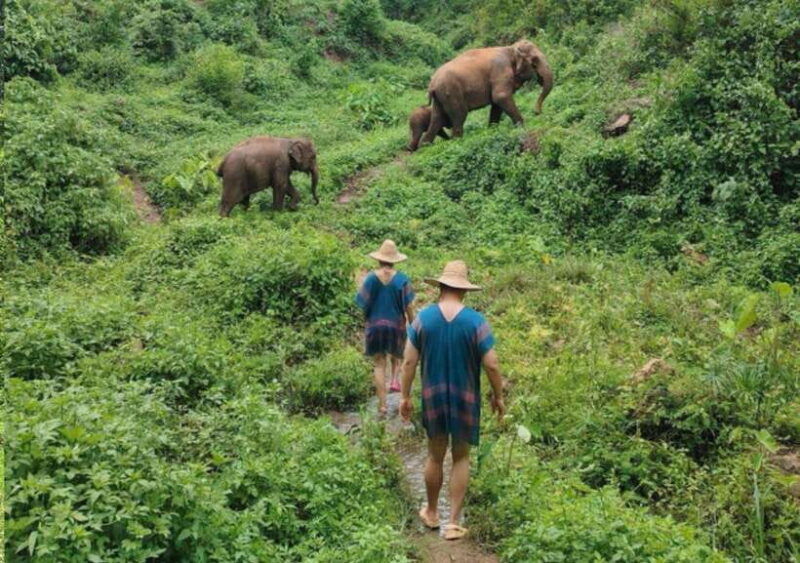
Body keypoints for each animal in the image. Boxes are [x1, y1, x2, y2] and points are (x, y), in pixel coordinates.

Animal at [418, 39, 553, 148]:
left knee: (437, 120)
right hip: (451, 93)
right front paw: (522, 127)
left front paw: (492, 131)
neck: (510, 48)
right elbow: (500, 97)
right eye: (535, 60)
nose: (537, 112)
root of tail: (432, 84)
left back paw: (424, 147)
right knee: (459, 116)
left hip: (440, 98)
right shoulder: (500, 72)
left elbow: (496, 105)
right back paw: (457, 143)